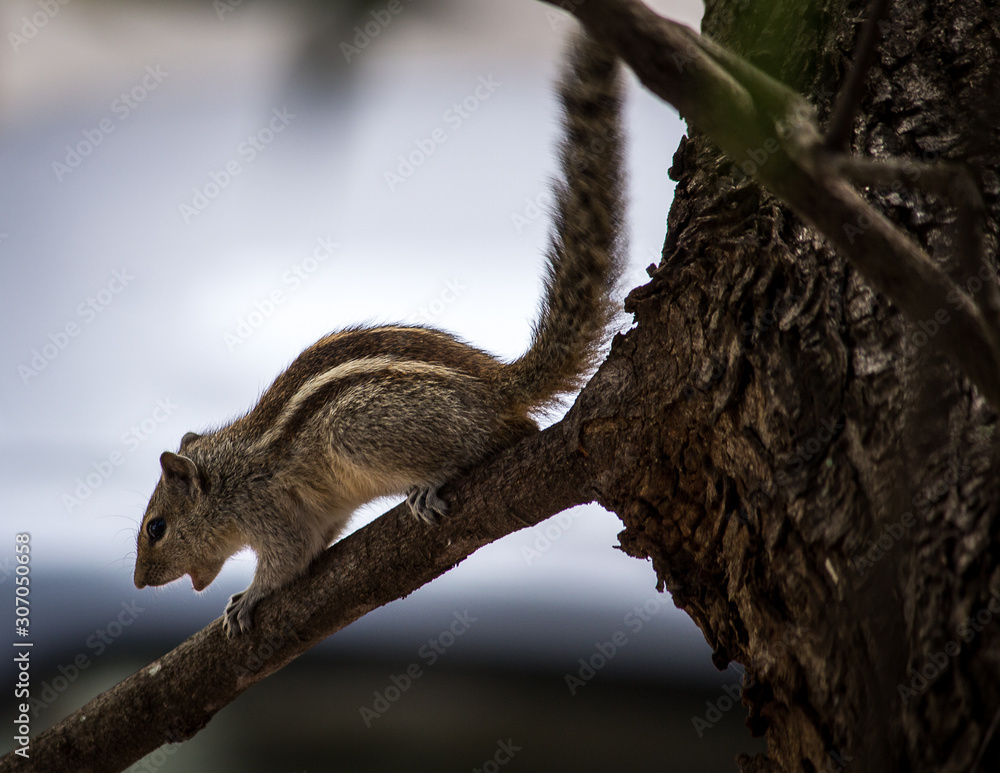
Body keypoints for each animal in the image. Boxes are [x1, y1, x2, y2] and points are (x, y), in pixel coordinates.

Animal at [133, 30, 626, 638]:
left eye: (156, 528)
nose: (138, 582)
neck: (228, 474)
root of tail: (496, 386)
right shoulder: (314, 513)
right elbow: (312, 548)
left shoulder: (265, 509)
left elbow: (286, 560)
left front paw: (247, 597)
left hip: (357, 425)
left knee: (502, 436)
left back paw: (435, 479)